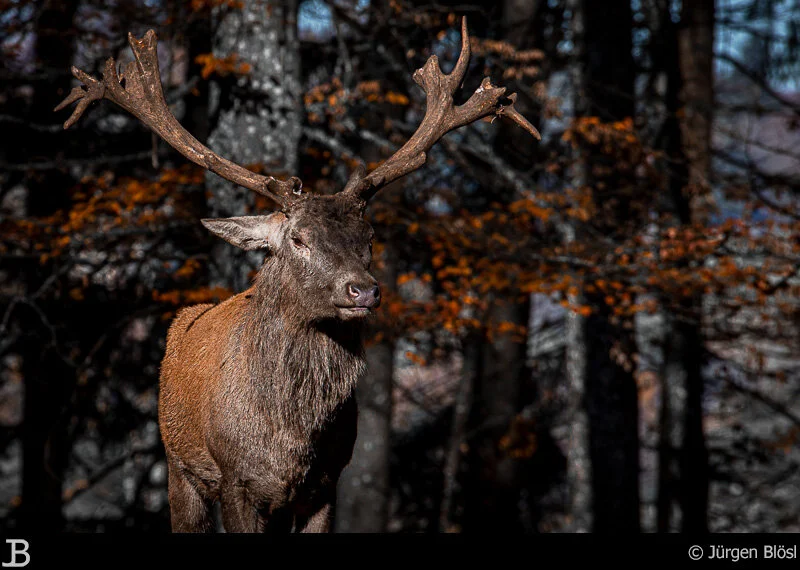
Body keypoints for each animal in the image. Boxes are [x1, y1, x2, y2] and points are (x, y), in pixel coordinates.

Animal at [55, 17, 540, 533]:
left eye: (369, 237)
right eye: (299, 239)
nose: (363, 290)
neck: (288, 439)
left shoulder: (324, 484)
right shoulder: (235, 480)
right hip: (178, 466)